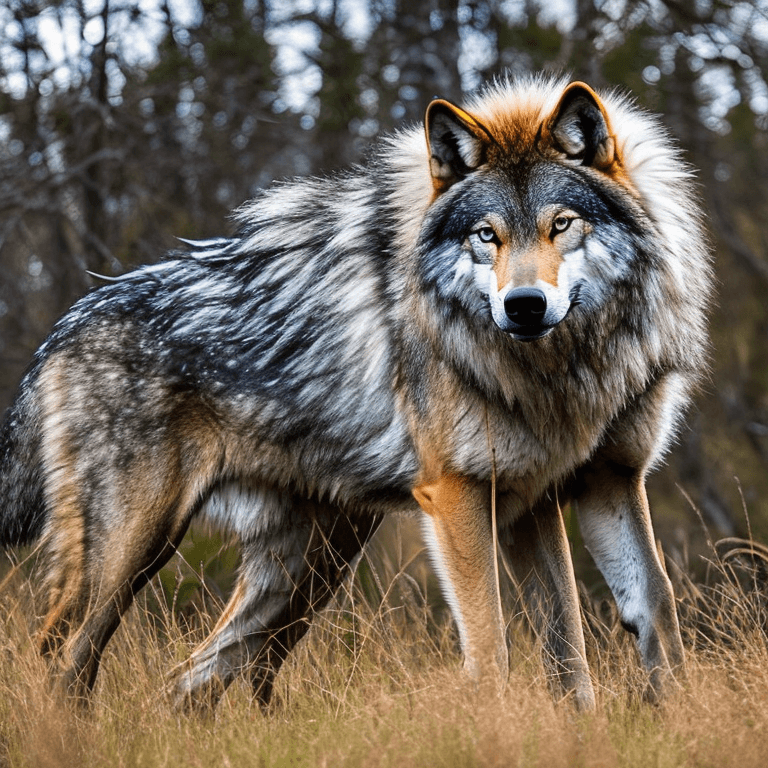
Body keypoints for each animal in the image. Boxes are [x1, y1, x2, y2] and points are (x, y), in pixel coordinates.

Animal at [0, 76, 710, 710]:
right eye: (487, 235)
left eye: (561, 224)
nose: (525, 305)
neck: (566, 370)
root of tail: (62, 329)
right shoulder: (462, 495)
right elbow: (492, 649)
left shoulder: (594, 483)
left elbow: (633, 618)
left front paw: (665, 720)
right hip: (133, 554)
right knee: (62, 661)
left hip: (304, 571)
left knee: (189, 680)